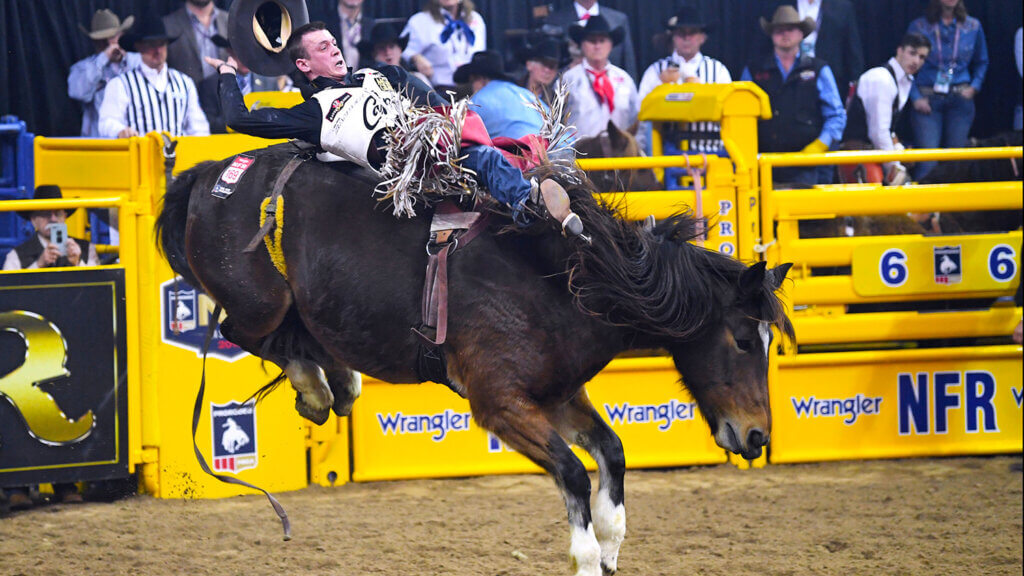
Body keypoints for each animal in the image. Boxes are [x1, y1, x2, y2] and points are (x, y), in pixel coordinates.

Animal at [153, 140, 790, 573]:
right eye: (740, 337)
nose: (759, 436)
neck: (567, 277)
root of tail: (210, 176)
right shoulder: (501, 403)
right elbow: (572, 473)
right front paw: (588, 555)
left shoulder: (557, 395)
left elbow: (610, 451)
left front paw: (611, 545)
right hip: (259, 300)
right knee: (247, 329)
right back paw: (314, 387)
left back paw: (338, 381)